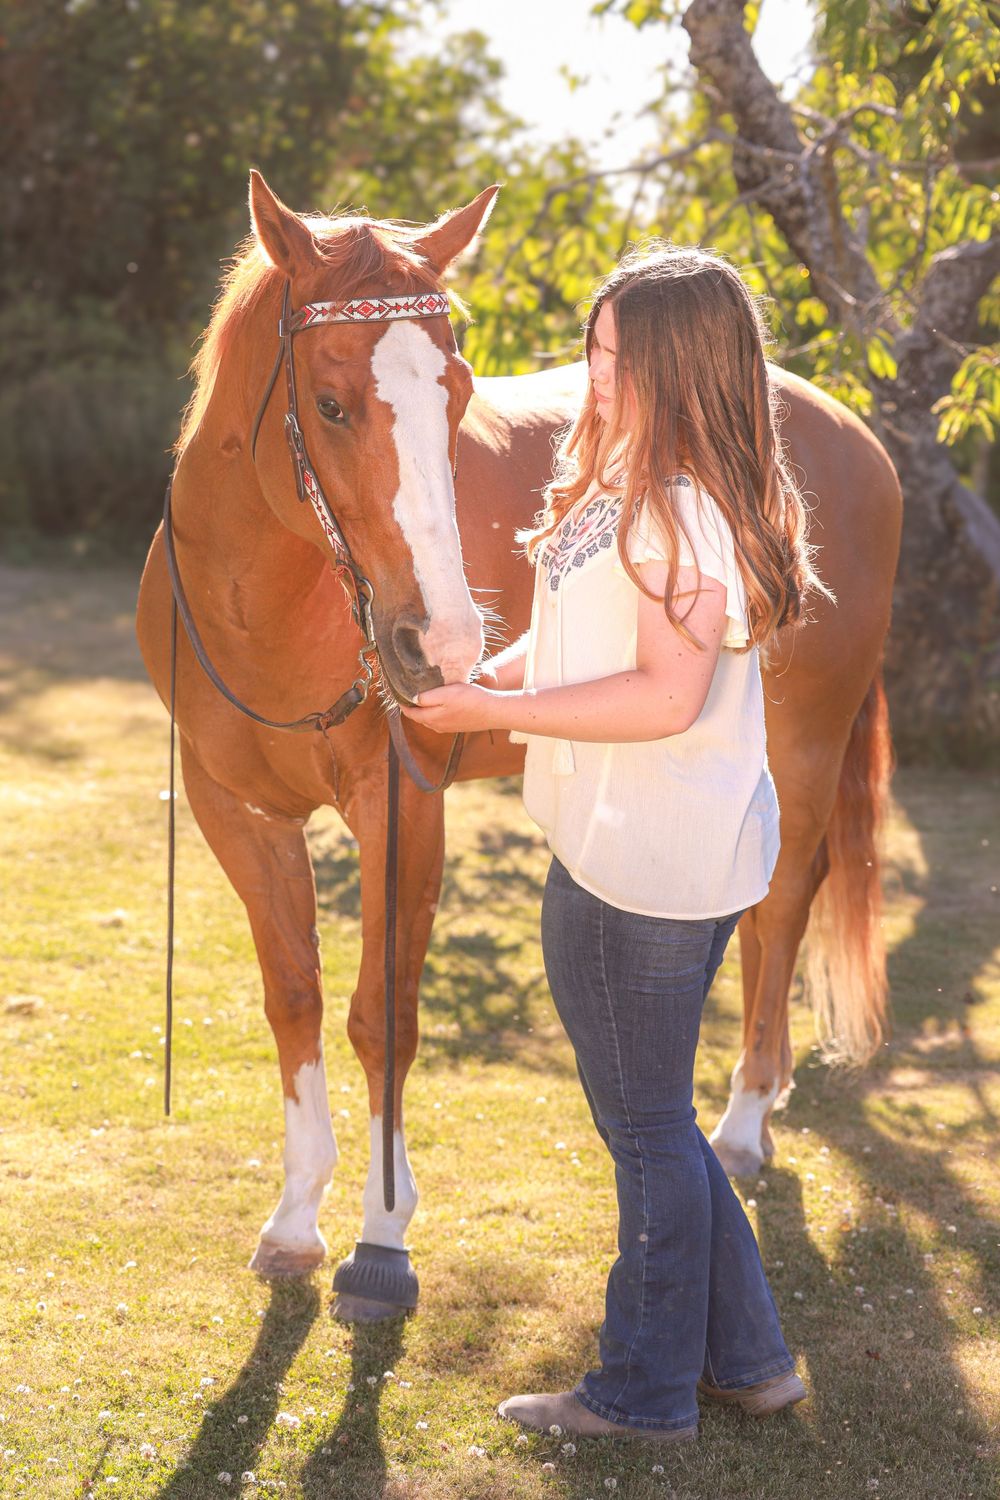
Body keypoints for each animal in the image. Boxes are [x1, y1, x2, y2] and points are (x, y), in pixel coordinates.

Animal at [136, 170, 902, 1320]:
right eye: (330, 404)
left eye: (455, 394)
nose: (444, 644)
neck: (261, 608)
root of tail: (851, 429)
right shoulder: (237, 812)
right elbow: (295, 999)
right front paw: (295, 1218)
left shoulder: (403, 808)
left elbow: (382, 1018)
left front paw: (381, 1234)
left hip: (805, 747)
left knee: (778, 911)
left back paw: (742, 1123)